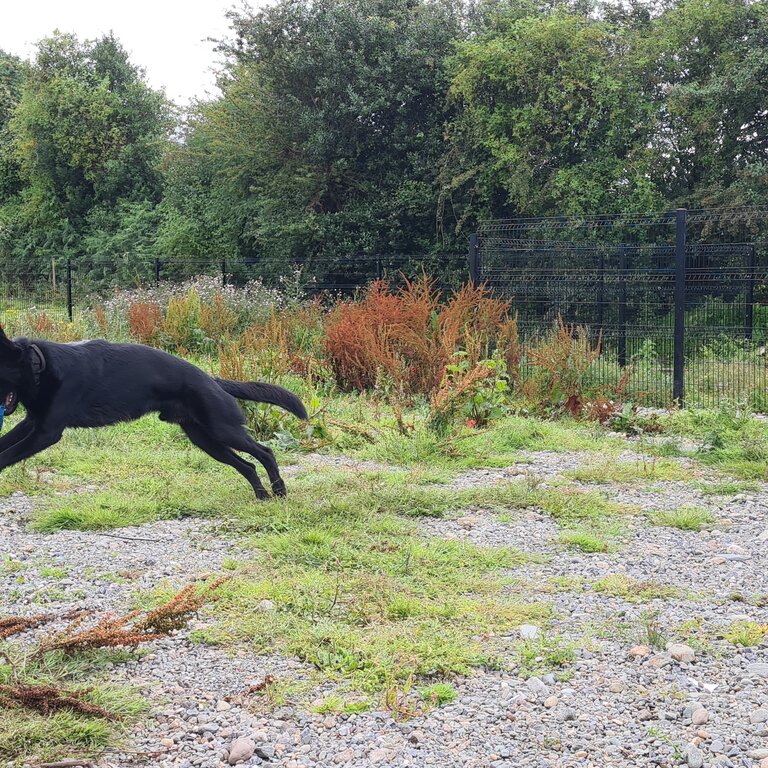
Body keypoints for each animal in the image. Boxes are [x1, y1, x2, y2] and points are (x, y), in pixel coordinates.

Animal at [0, 328, 306, 500]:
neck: (39, 365)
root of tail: (212, 379)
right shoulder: (33, 424)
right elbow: (5, 443)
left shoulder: (46, 432)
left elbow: (6, 454)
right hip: (205, 440)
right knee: (248, 465)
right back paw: (262, 496)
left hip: (223, 430)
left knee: (265, 453)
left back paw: (279, 491)